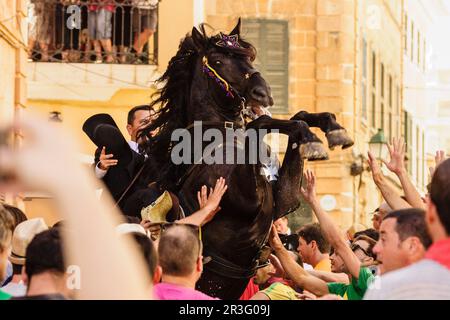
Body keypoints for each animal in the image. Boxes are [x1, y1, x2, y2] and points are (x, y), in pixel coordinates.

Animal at [139, 20, 354, 300]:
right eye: (218, 61)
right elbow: (261, 123)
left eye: (249, 56)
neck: (220, 138)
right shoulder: (246, 199)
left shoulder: (284, 200)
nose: (263, 93)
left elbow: (297, 117)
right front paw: (314, 138)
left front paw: (331, 129)